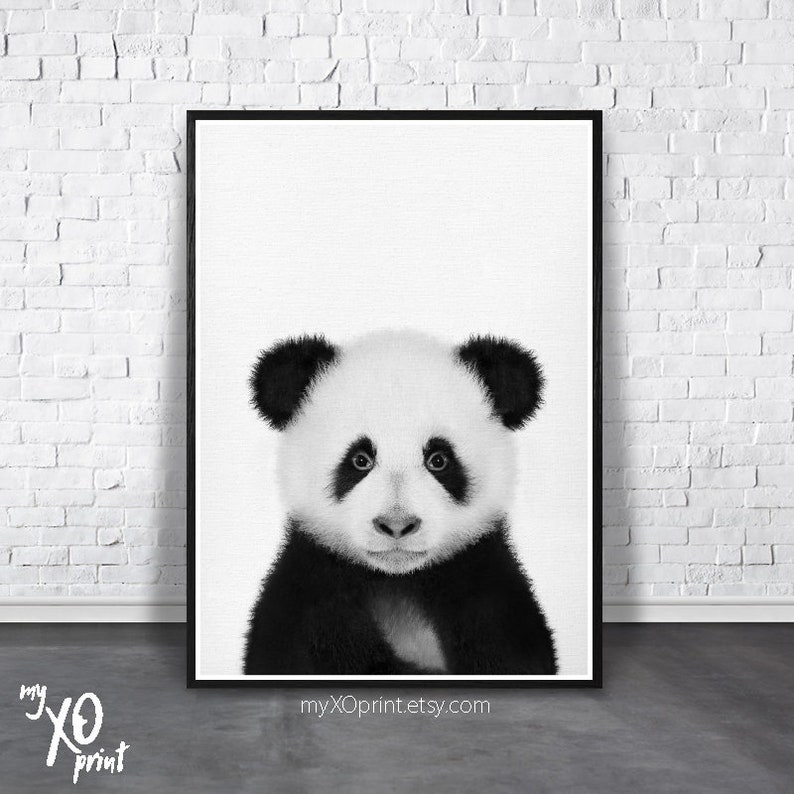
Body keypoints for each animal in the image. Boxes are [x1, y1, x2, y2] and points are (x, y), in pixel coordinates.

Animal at [243, 329, 557, 676]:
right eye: (360, 460)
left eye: (438, 459)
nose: (396, 525)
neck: (397, 580)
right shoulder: (309, 590)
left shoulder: (484, 586)